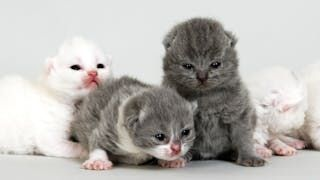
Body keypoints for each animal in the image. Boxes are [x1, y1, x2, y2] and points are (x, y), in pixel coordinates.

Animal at [161, 17, 264, 167]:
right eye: (188, 66)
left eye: (215, 64)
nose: (202, 76)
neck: (204, 96)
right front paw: (177, 158)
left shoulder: (239, 112)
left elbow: (244, 136)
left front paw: (249, 156)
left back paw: (233, 154)